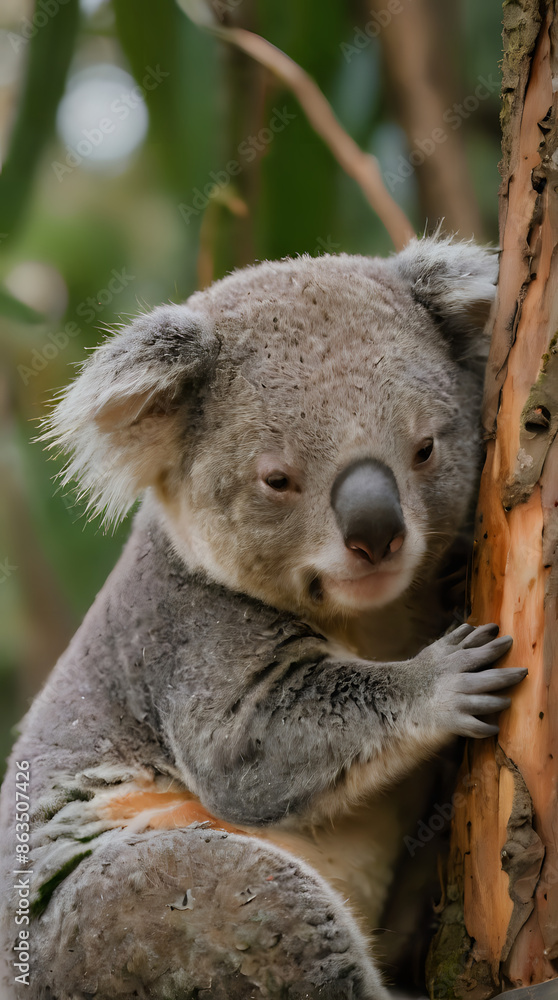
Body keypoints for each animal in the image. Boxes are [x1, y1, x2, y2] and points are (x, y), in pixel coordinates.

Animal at [0, 236, 526, 1000]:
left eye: (426, 448)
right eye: (277, 480)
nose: (377, 535)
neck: (374, 618)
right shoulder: (188, 634)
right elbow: (248, 747)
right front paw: (449, 678)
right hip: (155, 912)